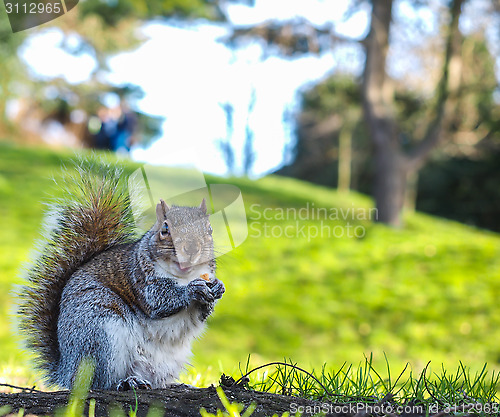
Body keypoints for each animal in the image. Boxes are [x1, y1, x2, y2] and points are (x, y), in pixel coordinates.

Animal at [17, 162, 225, 390]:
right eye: (165, 229)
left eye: (209, 229)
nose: (191, 248)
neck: (182, 275)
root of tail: (67, 370)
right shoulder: (140, 277)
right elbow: (158, 300)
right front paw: (192, 290)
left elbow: (202, 314)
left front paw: (218, 288)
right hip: (98, 337)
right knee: (99, 383)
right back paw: (127, 382)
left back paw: (175, 385)